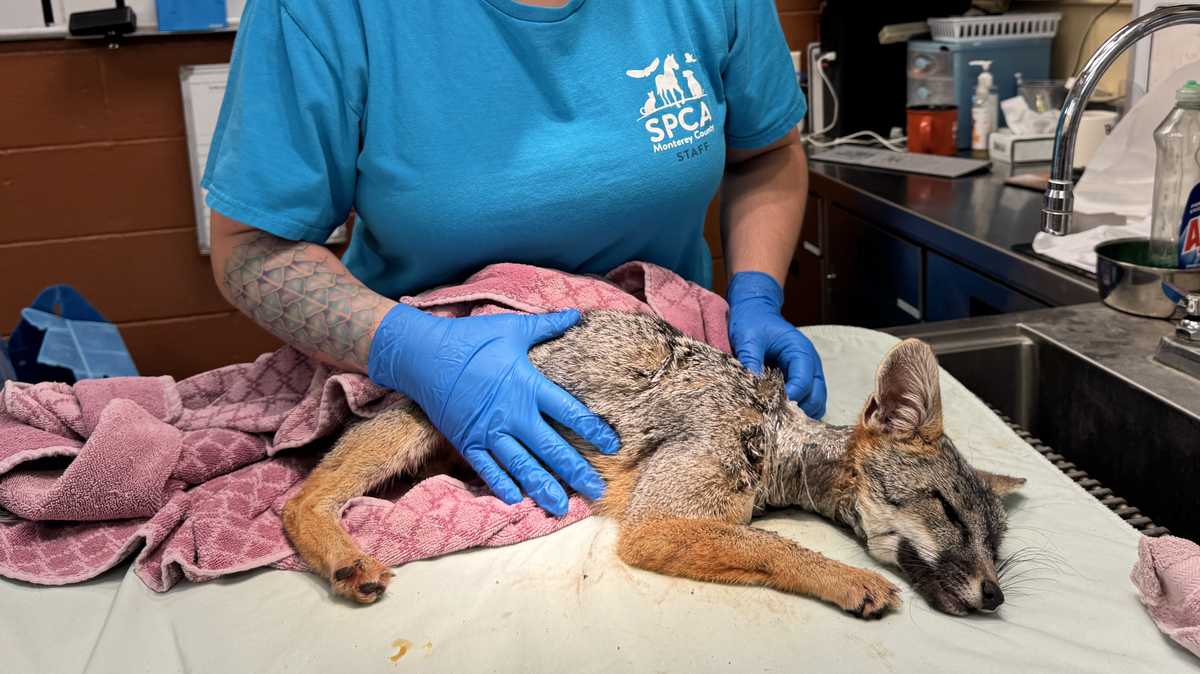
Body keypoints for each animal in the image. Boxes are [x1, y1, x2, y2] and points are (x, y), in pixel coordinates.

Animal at [282, 310, 1024, 618]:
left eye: (996, 545)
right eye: (948, 513)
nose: (996, 596)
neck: (773, 433)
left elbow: (768, 541)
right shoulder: (655, 526)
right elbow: (780, 548)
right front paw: (848, 580)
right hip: (412, 426)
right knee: (295, 502)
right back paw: (343, 559)